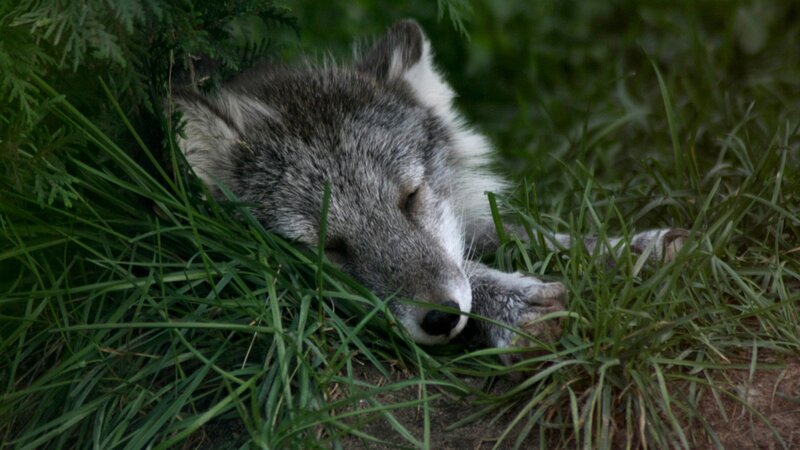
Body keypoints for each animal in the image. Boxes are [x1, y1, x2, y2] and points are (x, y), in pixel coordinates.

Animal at [171, 20, 686, 364]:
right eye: (325, 249)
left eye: (411, 197)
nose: (441, 319)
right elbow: (473, 268)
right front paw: (513, 305)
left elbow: (526, 235)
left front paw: (631, 249)